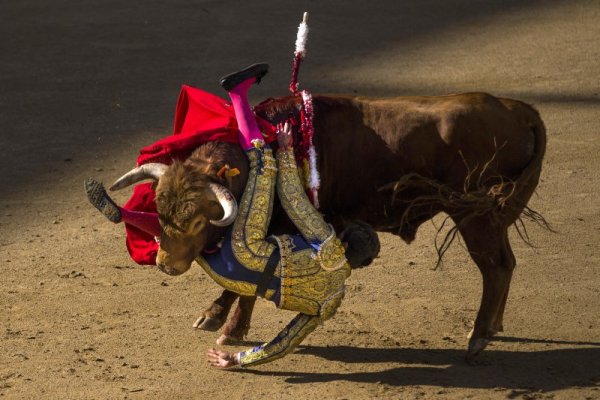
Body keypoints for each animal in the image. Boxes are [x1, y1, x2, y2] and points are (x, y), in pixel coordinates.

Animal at [115, 91, 548, 360]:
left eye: (197, 220)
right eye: (160, 211)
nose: (165, 264)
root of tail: (517, 109)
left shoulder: (267, 232)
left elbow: (246, 284)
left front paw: (231, 328)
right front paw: (214, 315)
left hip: (477, 216)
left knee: (495, 267)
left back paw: (477, 339)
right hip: (496, 217)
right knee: (506, 263)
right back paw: (493, 327)